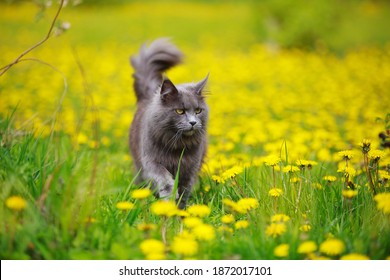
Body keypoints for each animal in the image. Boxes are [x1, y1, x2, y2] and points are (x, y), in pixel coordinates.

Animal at [129, 38, 209, 209]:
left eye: (198, 110)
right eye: (180, 111)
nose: (193, 122)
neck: (177, 146)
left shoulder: (190, 168)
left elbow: (185, 189)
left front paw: (179, 208)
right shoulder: (151, 161)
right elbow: (164, 178)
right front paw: (169, 196)